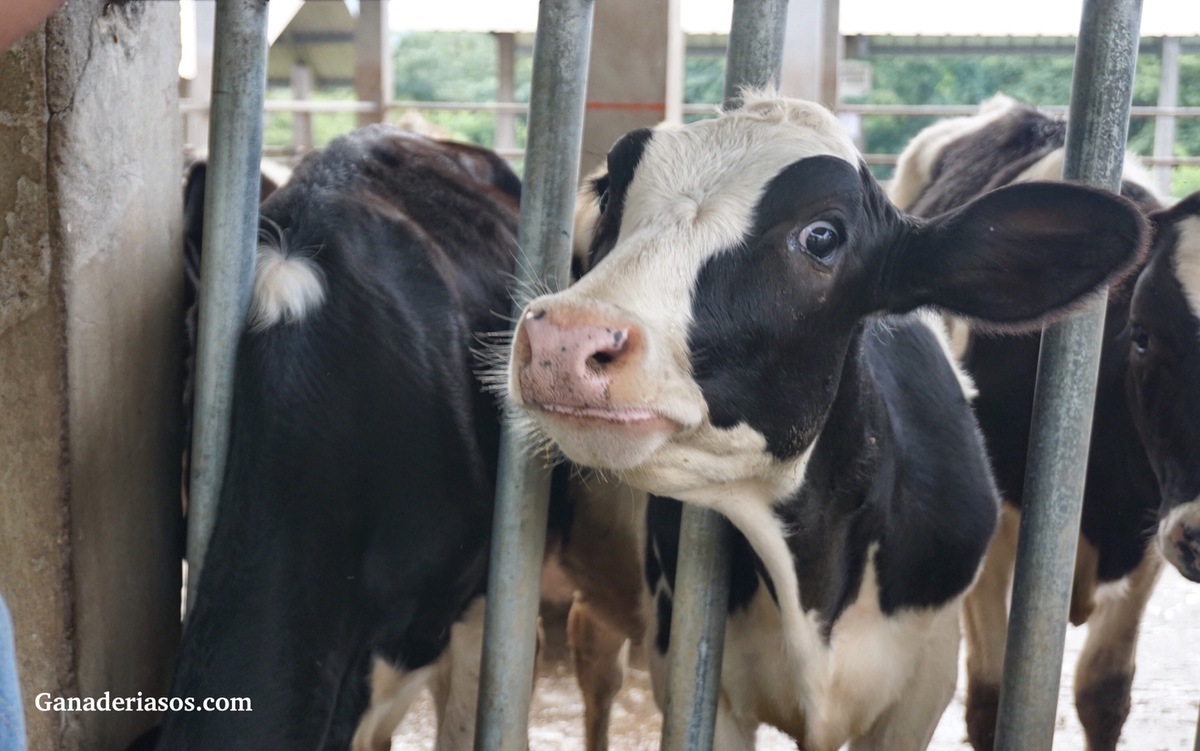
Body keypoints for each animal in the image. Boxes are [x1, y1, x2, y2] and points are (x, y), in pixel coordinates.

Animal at [494, 93, 1142, 748]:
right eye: (609, 195)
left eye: (823, 236)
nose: (566, 337)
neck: (811, 580)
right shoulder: (692, 675)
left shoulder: (923, 682)